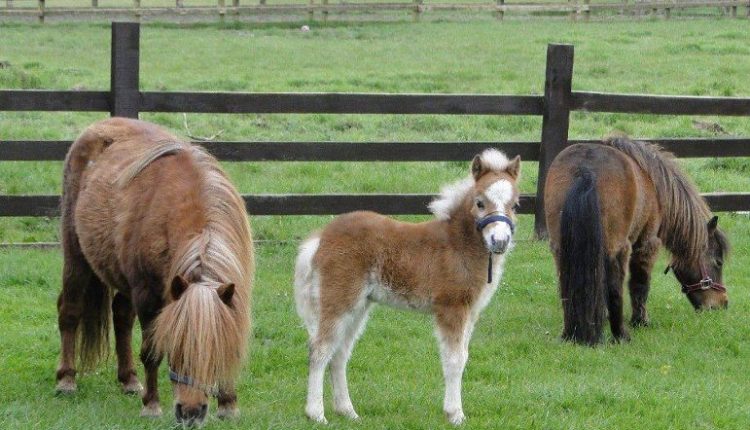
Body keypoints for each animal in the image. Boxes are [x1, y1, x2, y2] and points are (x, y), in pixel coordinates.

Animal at [294, 149, 524, 424]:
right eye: (480, 202)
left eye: (515, 205)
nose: (499, 241)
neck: (458, 245)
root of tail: (320, 238)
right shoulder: (451, 308)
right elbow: (454, 359)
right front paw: (455, 414)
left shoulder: (471, 311)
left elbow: (464, 356)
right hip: (338, 299)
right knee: (320, 349)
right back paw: (316, 413)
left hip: (359, 305)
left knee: (339, 354)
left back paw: (347, 411)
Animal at [544, 138, 732, 346]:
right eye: (718, 262)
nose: (722, 303)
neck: (654, 184)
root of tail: (585, 170)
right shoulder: (647, 244)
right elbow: (640, 284)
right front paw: (640, 321)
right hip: (618, 248)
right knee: (615, 288)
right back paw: (620, 335)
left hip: (561, 248)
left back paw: (570, 333)